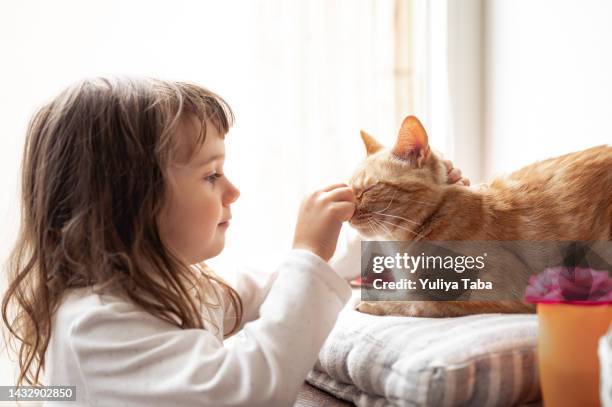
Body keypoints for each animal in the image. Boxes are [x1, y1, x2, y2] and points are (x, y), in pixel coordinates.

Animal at [350, 115, 612, 318]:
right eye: (349, 189)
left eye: (368, 189)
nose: (350, 214)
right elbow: (407, 292)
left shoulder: (504, 290)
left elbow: (421, 303)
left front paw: (371, 301)